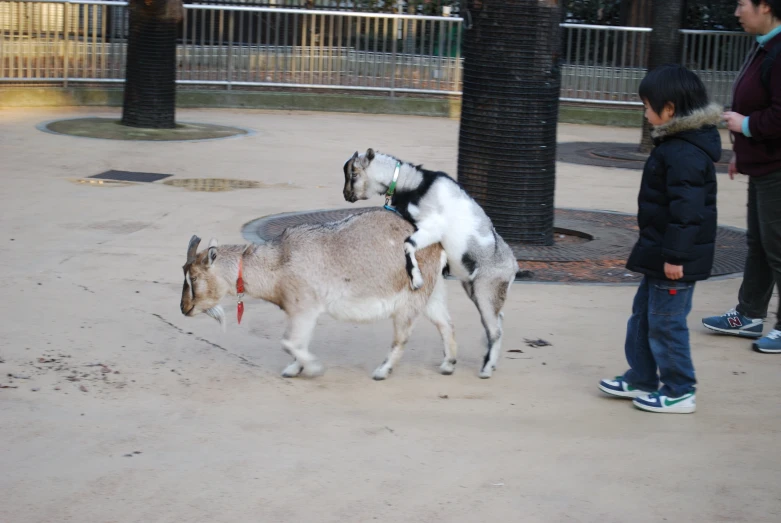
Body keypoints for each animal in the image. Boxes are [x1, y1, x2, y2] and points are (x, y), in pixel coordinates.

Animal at [342, 149, 516, 378]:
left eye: (354, 173)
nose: (346, 195)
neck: (415, 183)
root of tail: (512, 267)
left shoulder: (432, 227)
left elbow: (408, 244)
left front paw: (416, 280)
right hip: (476, 289)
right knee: (499, 319)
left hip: (486, 290)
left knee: (494, 329)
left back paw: (486, 369)